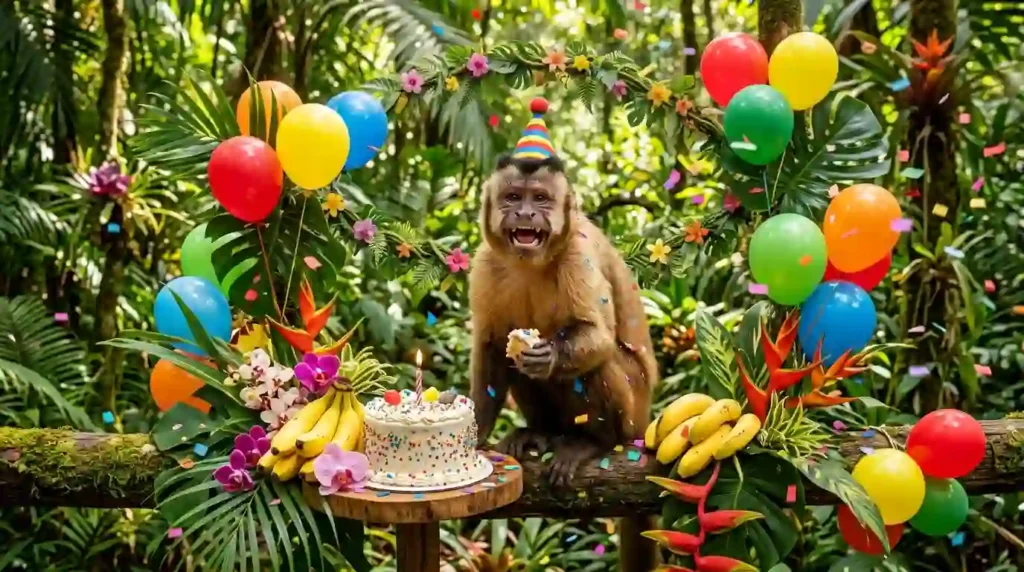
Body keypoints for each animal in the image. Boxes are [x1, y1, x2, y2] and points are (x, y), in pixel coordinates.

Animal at [469, 154, 658, 487]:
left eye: (540, 199)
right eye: (513, 197)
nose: (525, 213)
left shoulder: (579, 253)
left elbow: (598, 335)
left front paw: (551, 354)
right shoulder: (485, 262)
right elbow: (491, 345)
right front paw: (476, 432)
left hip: (634, 415)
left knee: (595, 365)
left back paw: (594, 442)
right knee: (513, 358)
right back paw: (540, 432)